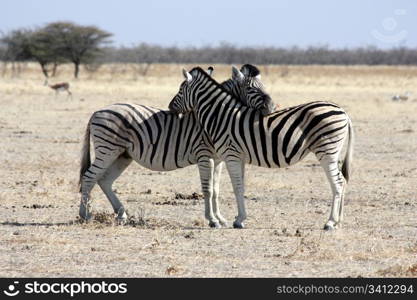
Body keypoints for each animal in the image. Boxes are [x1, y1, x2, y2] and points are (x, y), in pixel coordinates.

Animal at [79, 64, 272, 226]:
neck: (216, 116)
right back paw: (85, 215)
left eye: (264, 86)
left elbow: (216, 190)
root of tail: (97, 111)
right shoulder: (204, 156)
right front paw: (212, 220)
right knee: (89, 177)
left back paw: (121, 214)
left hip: (122, 155)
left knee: (104, 180)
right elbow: (208, 189)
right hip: (107, 149)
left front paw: (221, 218)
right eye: (252, 88)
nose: (271, 107)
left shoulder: (219, 160)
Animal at [167, 66, 352, 230]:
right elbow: (241, 186)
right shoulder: (238, 157)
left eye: (181, 89)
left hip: (326, 151)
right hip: (332, 152)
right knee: (342, 180)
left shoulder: (231, 155)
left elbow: (236, 187)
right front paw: (239, 218)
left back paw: (330, 222)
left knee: (337, 183)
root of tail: (343, 112)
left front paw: (239, 220)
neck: (221, 116)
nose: (169, 107)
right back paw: (339, 221)